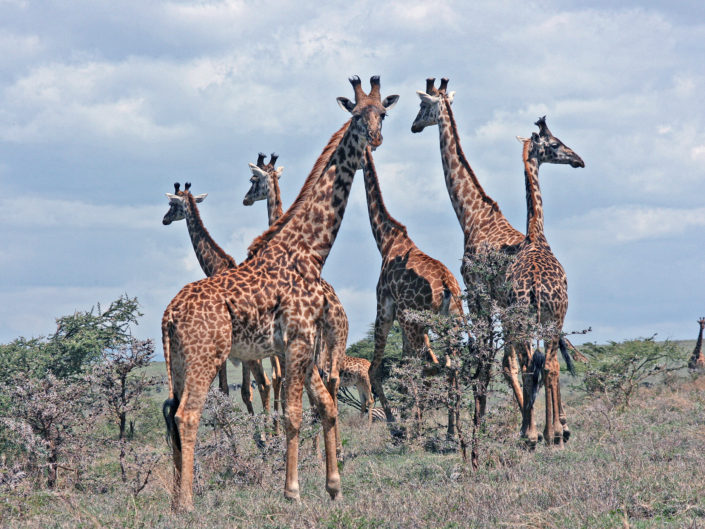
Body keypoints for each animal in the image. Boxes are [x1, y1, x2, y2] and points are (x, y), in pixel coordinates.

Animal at [162, 182, 272, 415]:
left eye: (172, 205)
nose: (164, 219)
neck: (217, 265)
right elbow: (245, 392)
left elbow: (225, 388)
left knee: (266, 383)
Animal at [361, 146, 464, 434]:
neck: (386, 241)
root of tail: (447, 285)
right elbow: (406, 364)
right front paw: (405, 416)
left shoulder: (385, 310)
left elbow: (377, 368)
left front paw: (396, 420)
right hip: (451, 322)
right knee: (450, 364)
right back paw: (452, 429)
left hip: (415, 322)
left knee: (426, 365)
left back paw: (416, 425)